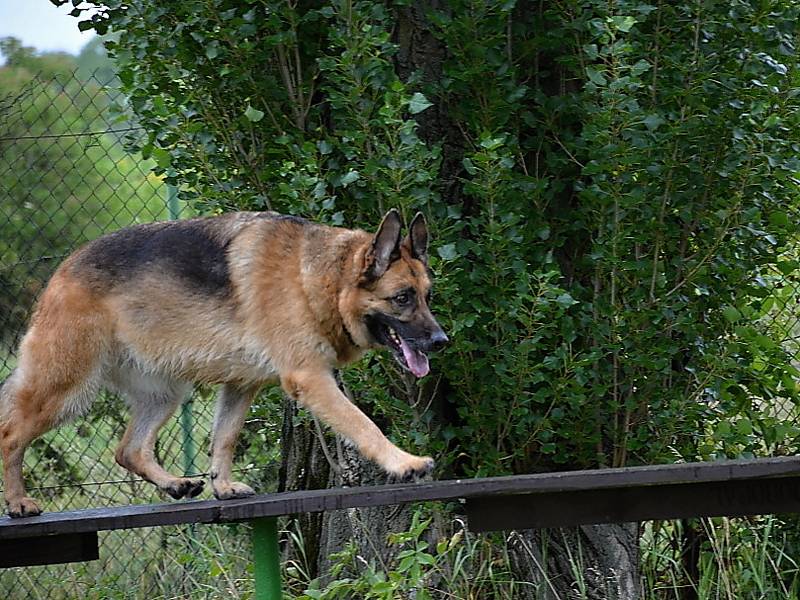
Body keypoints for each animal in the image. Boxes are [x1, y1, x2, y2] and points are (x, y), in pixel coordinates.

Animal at [0, 210, 446, 516]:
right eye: (402, 298)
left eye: (427, 297)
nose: (441, 341)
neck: (318, 278)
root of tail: (63, 268)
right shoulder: (312, 379)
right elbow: (363, 424)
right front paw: (403, 462)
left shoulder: (241, 386)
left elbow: (224, 439)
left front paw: (223, 487)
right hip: (65, 391)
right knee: (10, 434)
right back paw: (19, 502)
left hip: (166, 394)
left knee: (129, 449)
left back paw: (175, 485)